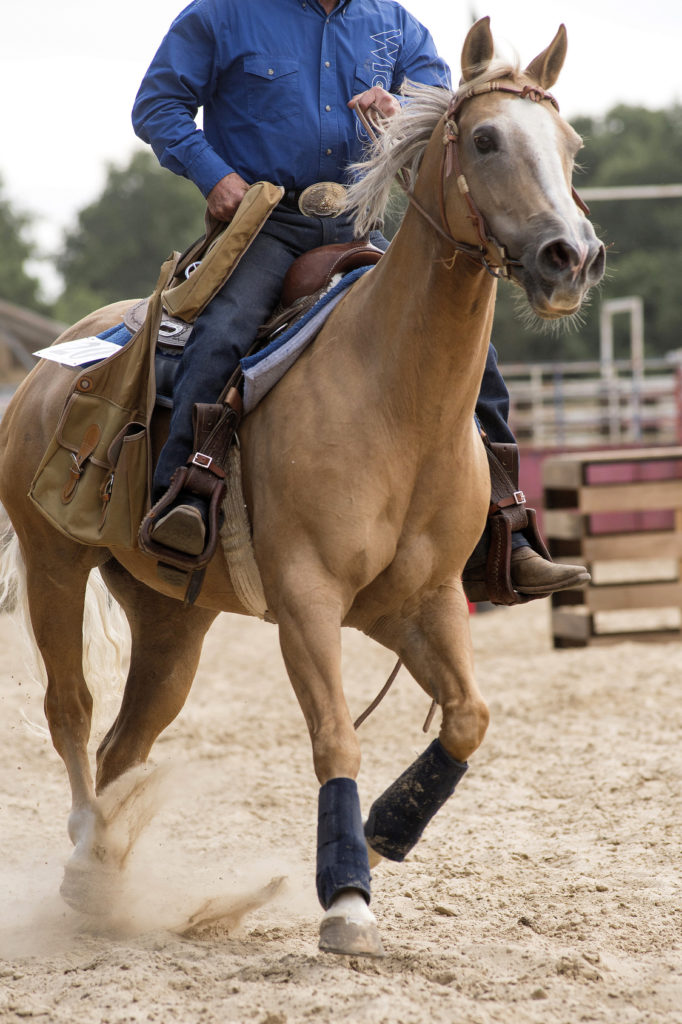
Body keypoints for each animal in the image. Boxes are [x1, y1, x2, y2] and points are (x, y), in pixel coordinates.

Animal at [1, 19, 606, 954]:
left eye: (571, 144)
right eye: (485, 139)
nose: (570, 256)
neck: (394, 398)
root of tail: (48, 364)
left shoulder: (422, 601)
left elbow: (468, 716)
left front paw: (388, 827)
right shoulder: (308, 600)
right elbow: (335, 740)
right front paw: (347, 895)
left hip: (173, 620)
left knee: (123, 745)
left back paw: (102, 873)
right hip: (56, 567)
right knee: (70, 712)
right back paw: (80, 856)